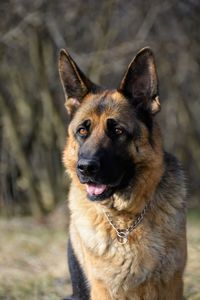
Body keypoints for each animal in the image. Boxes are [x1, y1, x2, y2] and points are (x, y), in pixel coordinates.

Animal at [58, 47, 187, 300]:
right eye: (82, 131)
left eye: (117, 131)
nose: (85, 168)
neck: (125, 220)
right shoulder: (104, 291)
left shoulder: (172, 286)